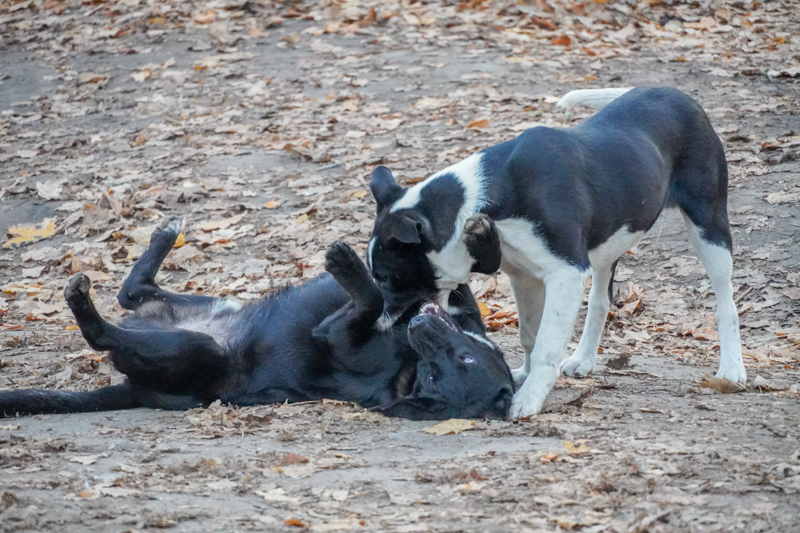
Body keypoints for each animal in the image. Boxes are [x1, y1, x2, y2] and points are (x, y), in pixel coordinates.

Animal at [0, 216, 512, 420]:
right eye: (467, 356)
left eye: (448, 370)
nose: (421, 329)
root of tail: (132, 389)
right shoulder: (439, 295)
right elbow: (464, 276)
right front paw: (479, 235)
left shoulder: (337, 336)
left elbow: (367, 298)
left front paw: (348, 265)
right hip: (212, 304)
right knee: (133, 292)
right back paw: (166, 233)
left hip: (195, 347)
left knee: (104, 332)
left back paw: (83, 301)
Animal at [366, 86, 748, 416]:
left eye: (385, 278)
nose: (378, 323)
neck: (484, 200)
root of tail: (674, 92)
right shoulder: (524, 276)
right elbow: (530, 336)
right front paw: (523, 376)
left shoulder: (566, 272)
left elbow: (547, 344)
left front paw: (529, 398)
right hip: (608, 243)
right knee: (601, 300)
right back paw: (584, 359)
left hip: (709, 226)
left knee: (726, 302)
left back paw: (731, 368)